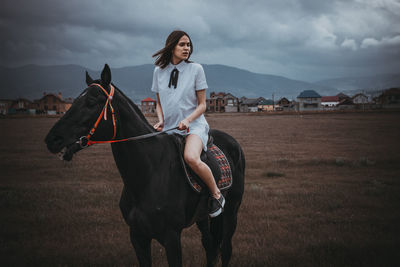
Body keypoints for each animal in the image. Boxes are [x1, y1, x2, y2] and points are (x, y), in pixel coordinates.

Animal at [43, 63, 244, 266]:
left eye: (91, 102)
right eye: (75, 101)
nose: (52, 139)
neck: (149, 174)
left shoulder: (172, 237)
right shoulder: (138, 237)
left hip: (231, 211)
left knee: (226, 248)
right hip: (202, 218)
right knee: (210, 246)